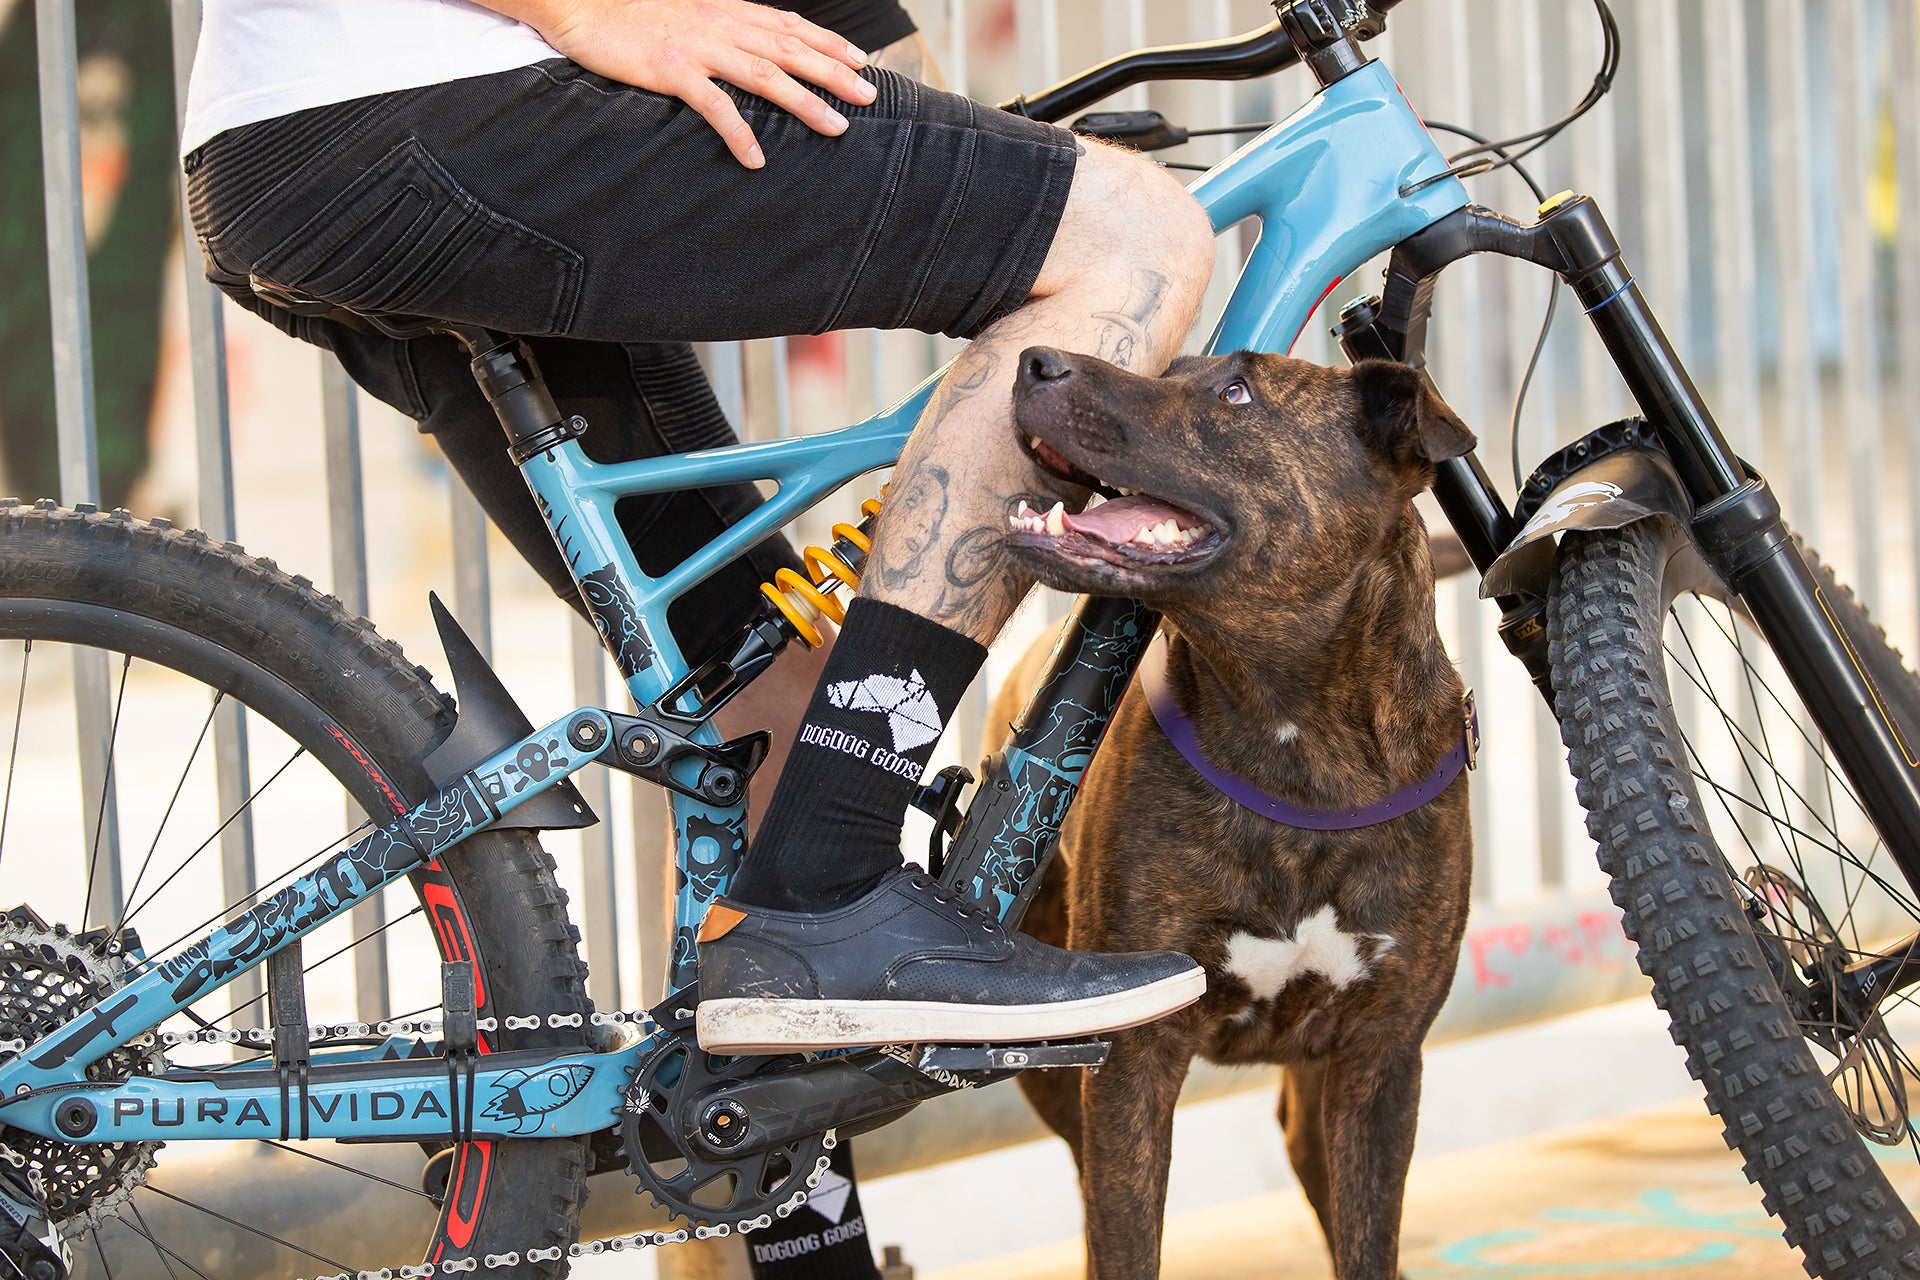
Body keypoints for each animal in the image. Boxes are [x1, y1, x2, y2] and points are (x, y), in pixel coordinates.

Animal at [998, 347, 1474, 1280]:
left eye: (1236, 392)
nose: (1035, 359)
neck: (1300, 747)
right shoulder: (1131, 1064)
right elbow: (1125, 1242)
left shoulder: (1380, 1060)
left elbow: (1370, 1242)